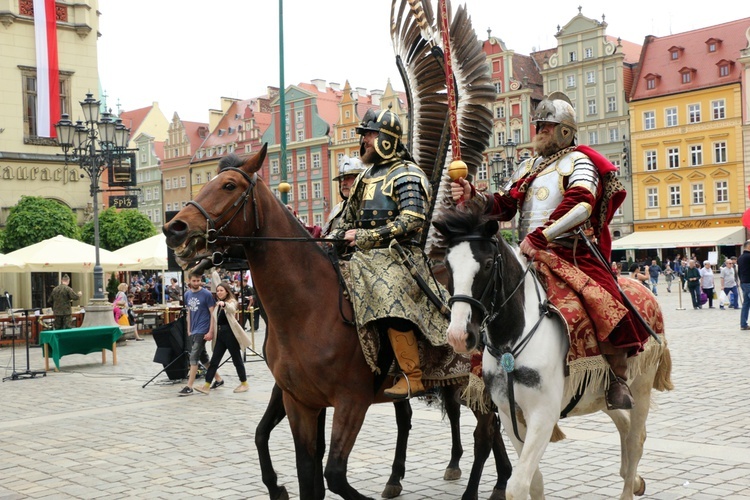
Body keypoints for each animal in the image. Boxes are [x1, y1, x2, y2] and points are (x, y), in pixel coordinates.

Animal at [161, 145, 508, 500]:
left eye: (228, 185)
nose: (175, 227)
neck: (307, 309)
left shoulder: (350, 401)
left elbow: (334, 474)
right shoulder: (299, 400)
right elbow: (298, 461)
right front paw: (279, 487)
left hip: (468, 378)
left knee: (483, 433)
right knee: (482, 428)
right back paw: (495, 480)